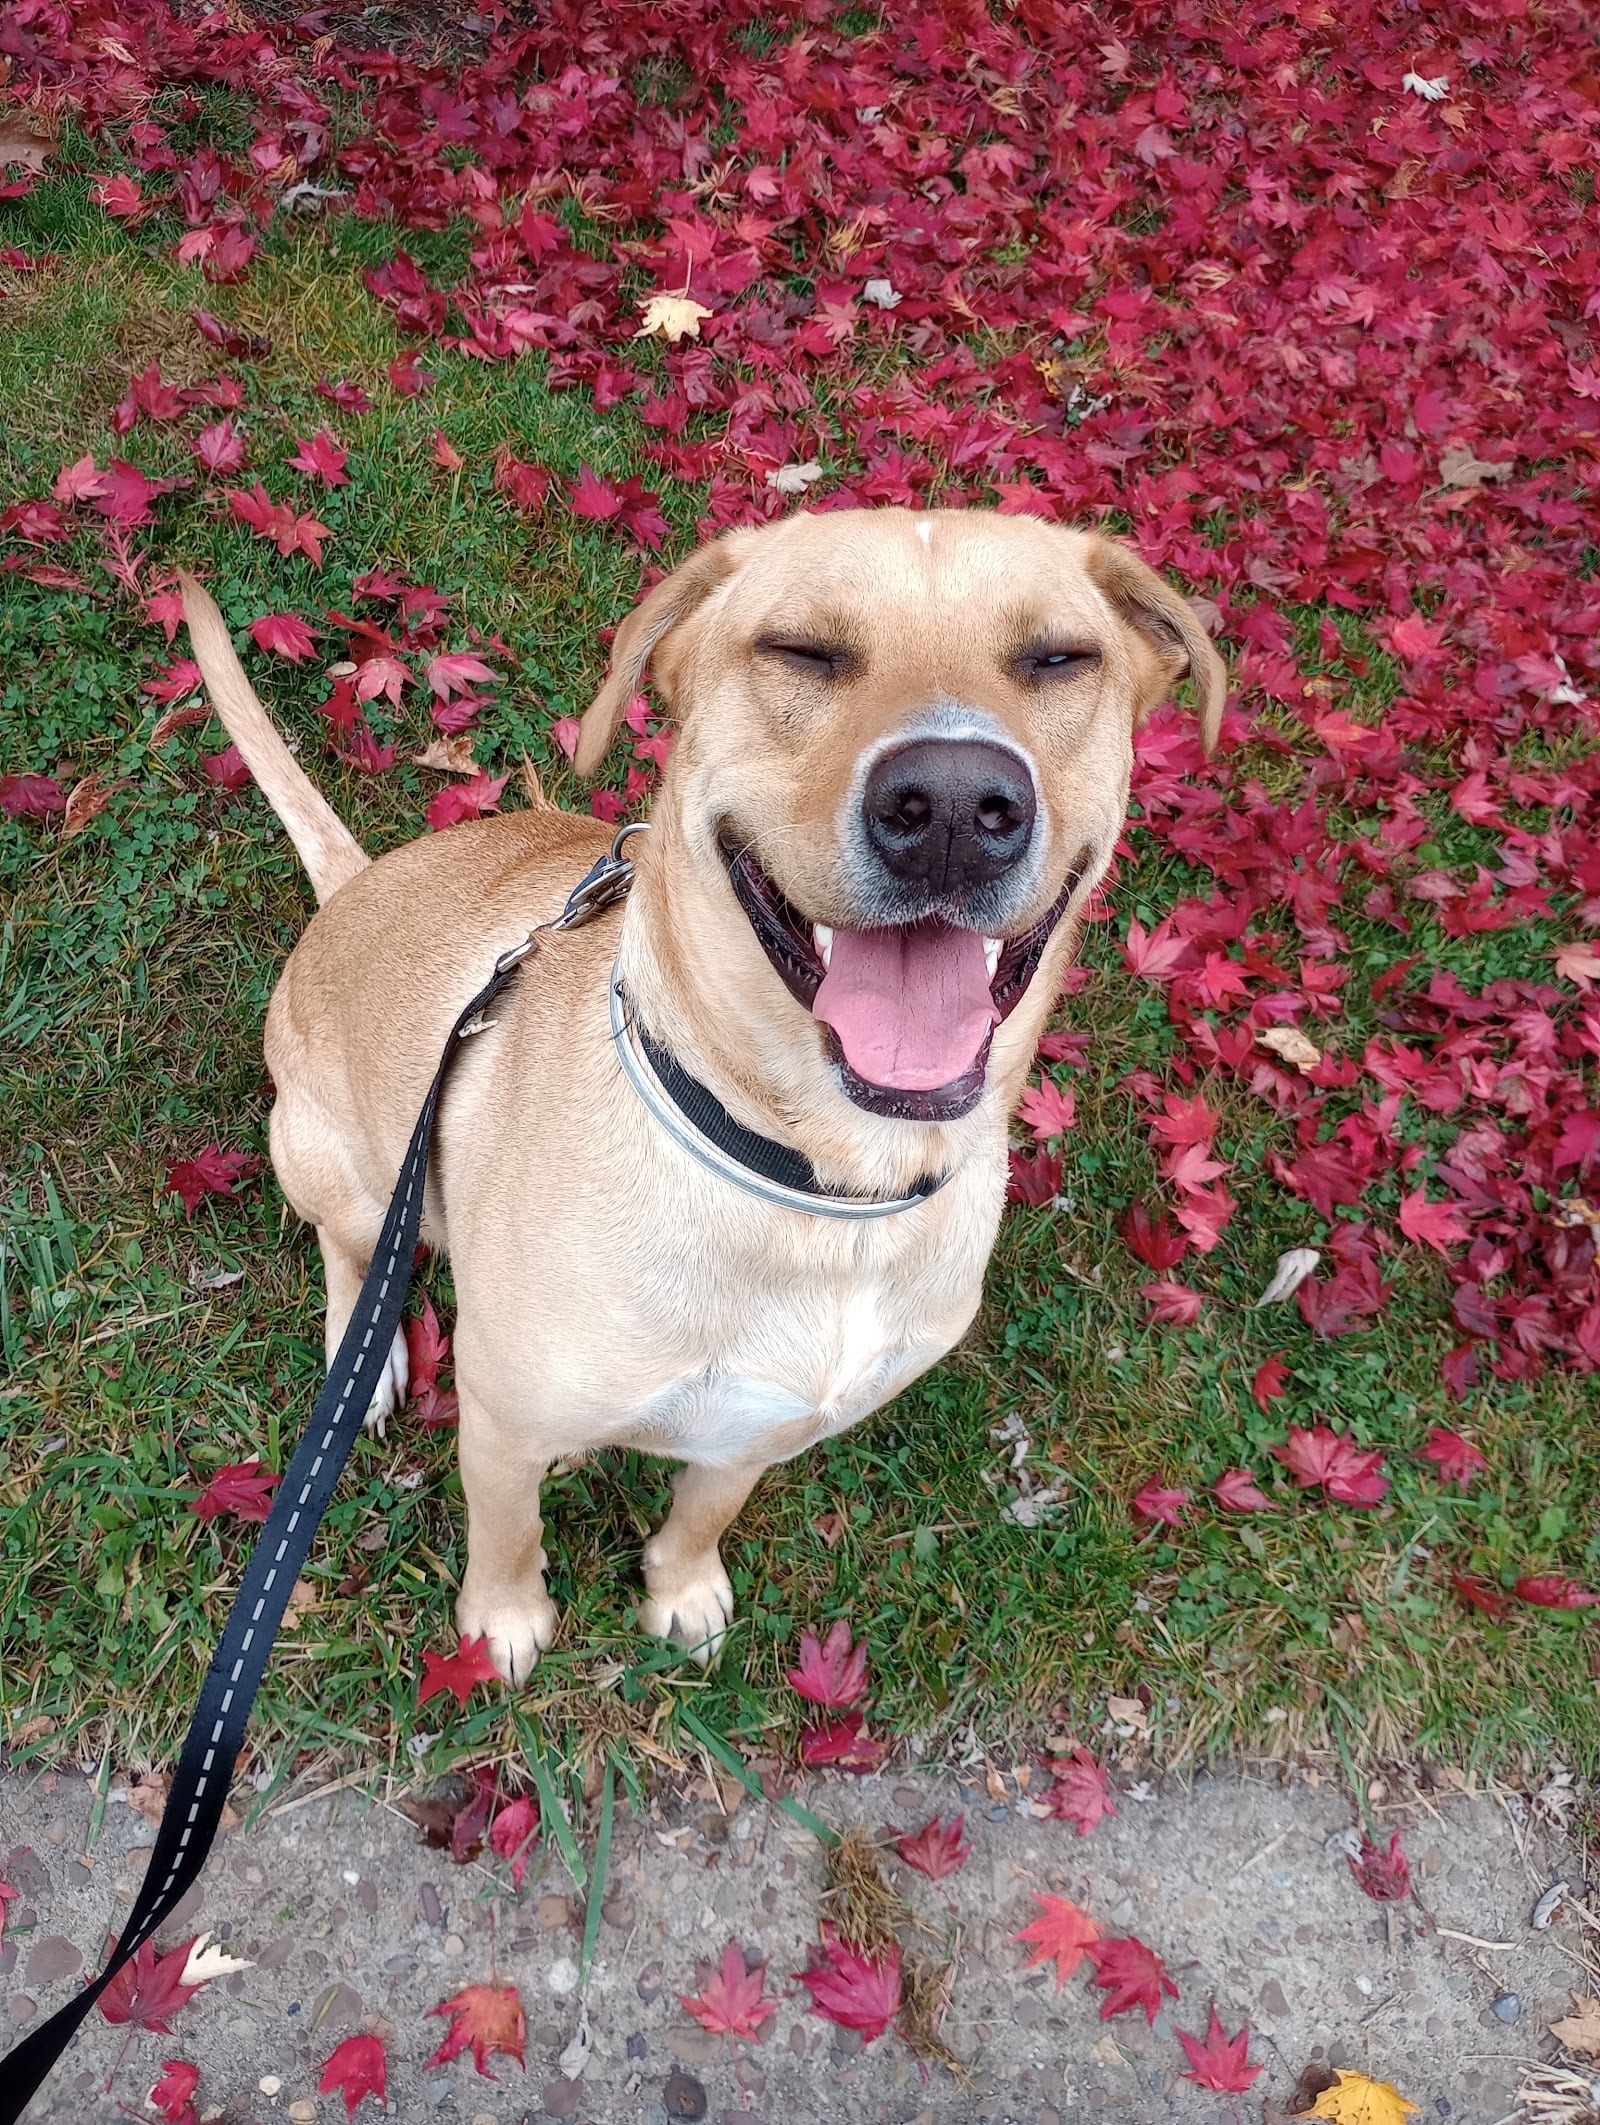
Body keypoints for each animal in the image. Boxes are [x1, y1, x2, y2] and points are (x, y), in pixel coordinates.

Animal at [180, 507, 1223, 1683]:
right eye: (802, 649)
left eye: (1058, 658)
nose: (954, 806)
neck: (824, 1187)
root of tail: (353, 884)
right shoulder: (501, 1424)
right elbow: (508, 1533)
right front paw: (504, 1624)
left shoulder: (763, 1427)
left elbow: (703, 1511)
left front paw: (680, 1590)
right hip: (336, 1163)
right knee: (352, 1251)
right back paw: (369, 1352)